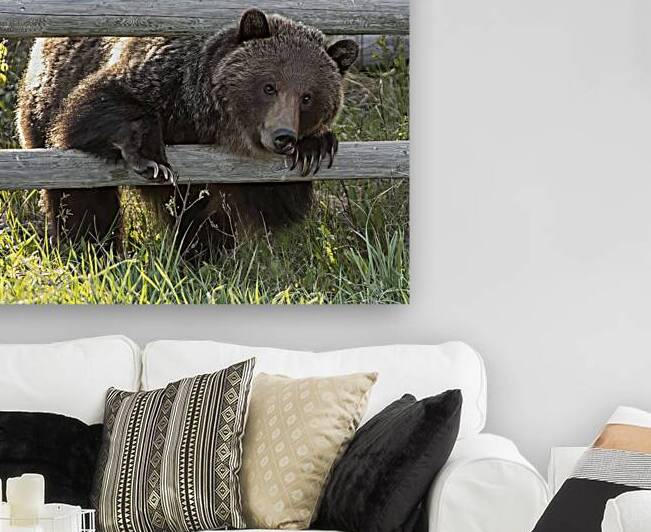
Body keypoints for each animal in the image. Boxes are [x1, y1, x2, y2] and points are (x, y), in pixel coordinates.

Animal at [16, 9, 359, 255]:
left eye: (307, 97)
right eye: (269, 86)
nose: (283, 136)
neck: (206, 121)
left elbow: (275, 202)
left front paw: (315, 145)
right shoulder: (161, 79)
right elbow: (98, 104)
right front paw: (150, 157)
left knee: (199, 215)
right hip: (44, 108)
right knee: (81, 199)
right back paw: (91, 249)